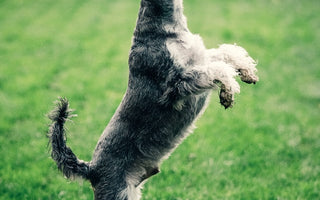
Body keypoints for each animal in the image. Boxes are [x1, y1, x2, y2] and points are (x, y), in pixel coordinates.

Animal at [47, 0, 258, 200]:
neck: (166, 28)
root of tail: (91, 168)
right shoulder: (176, 83)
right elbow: (218, 69)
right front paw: (228, 91)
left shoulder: (200, 59)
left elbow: (226, 52)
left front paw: (248, 71)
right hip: (117, 192)